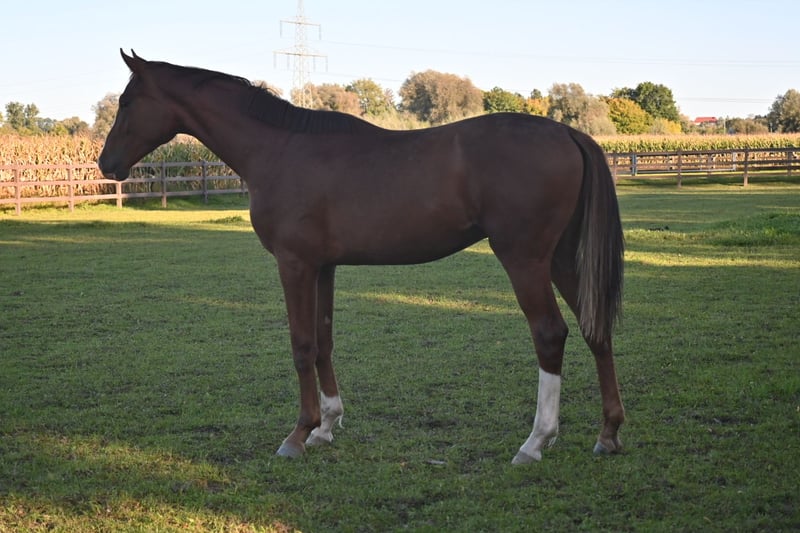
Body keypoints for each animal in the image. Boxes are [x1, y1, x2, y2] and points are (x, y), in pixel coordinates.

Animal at [98, 50, 625, 464]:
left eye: (127, 102)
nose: (106, 164)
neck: (280, 148)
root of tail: (568, 135)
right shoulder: (323, 267)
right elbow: (324, 340)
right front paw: (328, 426)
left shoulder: (294, 264)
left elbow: (301, 345)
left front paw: (298, 434)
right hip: (560, 259)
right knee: (595, 328)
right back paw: (608, 434)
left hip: (524, 259)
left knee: (550, 335)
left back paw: (535, 441)